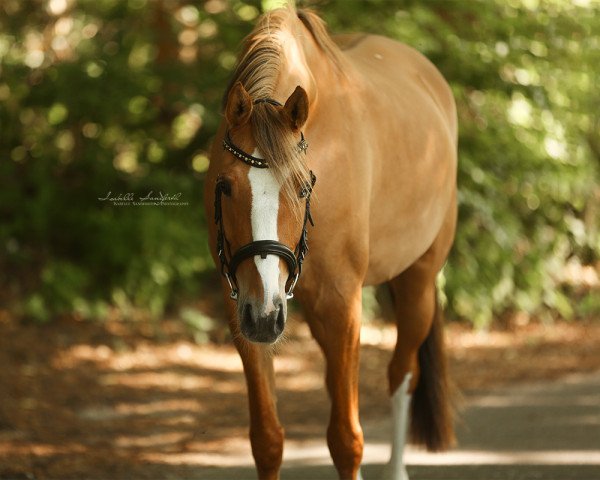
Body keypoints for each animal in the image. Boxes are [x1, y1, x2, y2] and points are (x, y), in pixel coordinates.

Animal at [204, 7, 458, 480]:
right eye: (225, 186)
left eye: (304, 187)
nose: (264, 315)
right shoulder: (242, 307)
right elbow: (267, 440)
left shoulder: (342, 304)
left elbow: (345, 439)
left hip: (417, 282)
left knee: (403, 373)